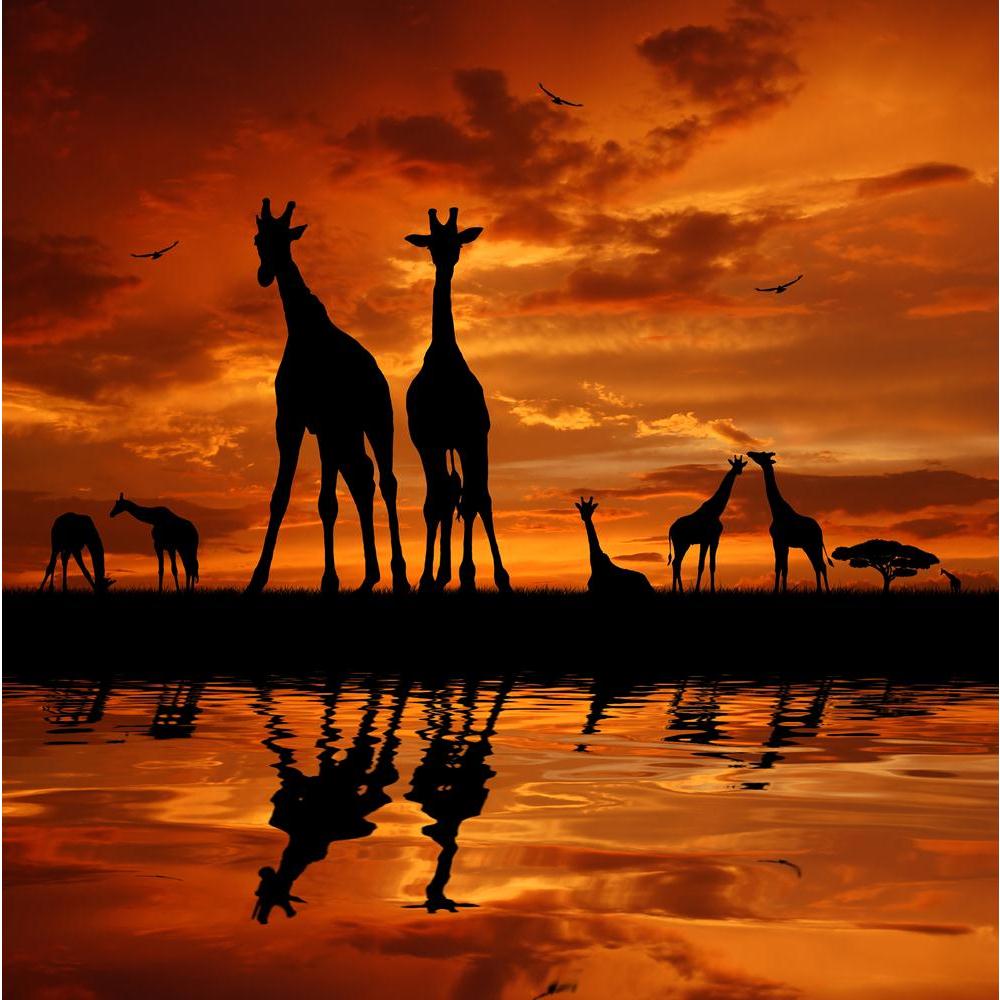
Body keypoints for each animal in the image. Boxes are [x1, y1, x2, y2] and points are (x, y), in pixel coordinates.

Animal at [246, 198, 408, 595]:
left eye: (286, 238)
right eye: (258, 239)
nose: (265, 274)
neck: (303, 332)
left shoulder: (327, 422)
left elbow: (327, 503)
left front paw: (329, 580)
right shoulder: (291, 421)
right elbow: (280, 498)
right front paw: (256, 579)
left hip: (377, 421)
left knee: (387, 482)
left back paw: (399, 576)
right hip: (347, 433)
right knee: (363, 478)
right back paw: (369, 578)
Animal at [405, 207, 510, 593]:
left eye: (457, 241)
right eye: (431, 242)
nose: (447, 259)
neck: (444, 362)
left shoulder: (471, 437)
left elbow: (476, 499)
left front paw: (482, 575)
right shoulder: (428, 442)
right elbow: (434, 504)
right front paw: (427, 577)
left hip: (470, 442)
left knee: (473, 497)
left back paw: (477, 574)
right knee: (449, 494)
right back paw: (442, 574)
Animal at [667, 455, 747, 593]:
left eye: (741, 465)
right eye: (734, 464)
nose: (739, 471)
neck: (716, 511)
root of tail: (670, 529)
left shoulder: (714, 540)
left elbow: (712, 565)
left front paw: (713, 590)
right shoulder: (705, 540)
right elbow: (701, 565)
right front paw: (697, 590)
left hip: (684, 544)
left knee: (676, 563)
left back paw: (678, 590)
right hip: (680, 543)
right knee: (676, 563)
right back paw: (677, 590)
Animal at [746, 451, 832, 593]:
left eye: (762, 454)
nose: (750, 453)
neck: (776, 511)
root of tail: (820, 531)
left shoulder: (779, 541)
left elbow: (781, 568)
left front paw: (779, 591)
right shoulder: (781, 543)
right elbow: (781, 568)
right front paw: (780, 590)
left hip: (814, 544)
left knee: (821, 565)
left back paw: (826, 590)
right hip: (808, 546)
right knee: (817, 565)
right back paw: (819, 590)